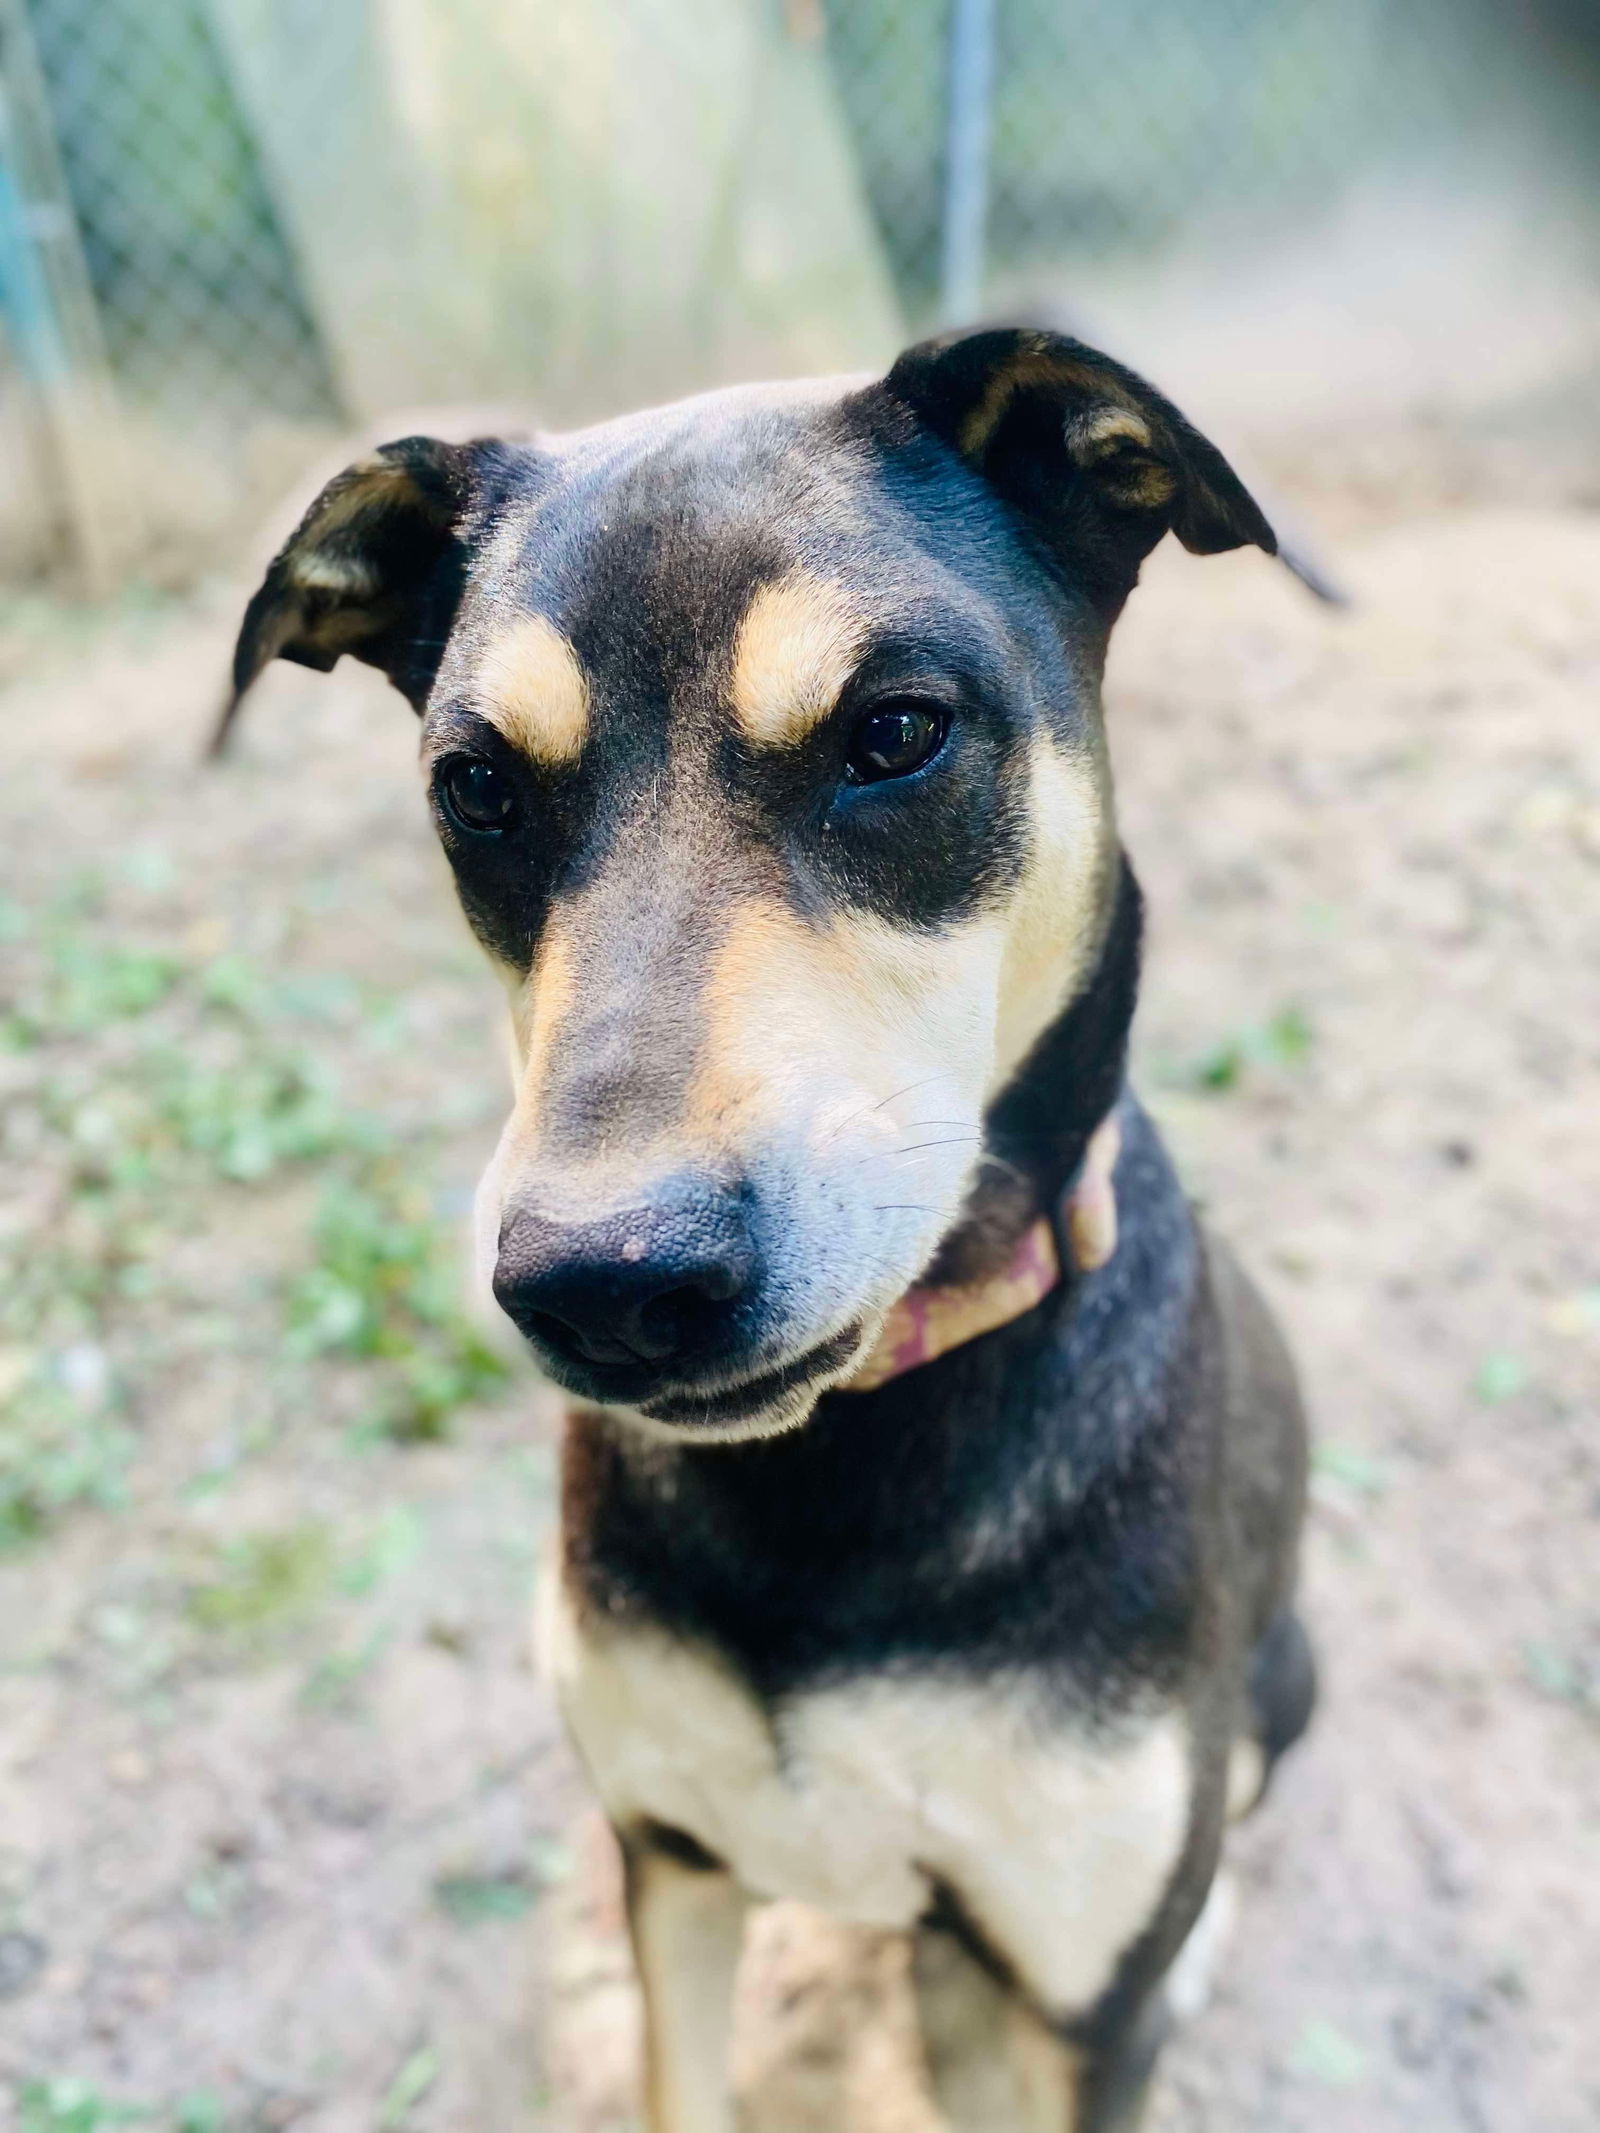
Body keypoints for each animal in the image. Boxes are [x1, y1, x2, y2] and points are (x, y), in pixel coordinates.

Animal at [219, 328, 1314, 2133]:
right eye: (474, 787)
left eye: (897, 730)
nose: (606, 1284)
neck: (841, 1469)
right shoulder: (667, 1862)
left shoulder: (1081, 2008)